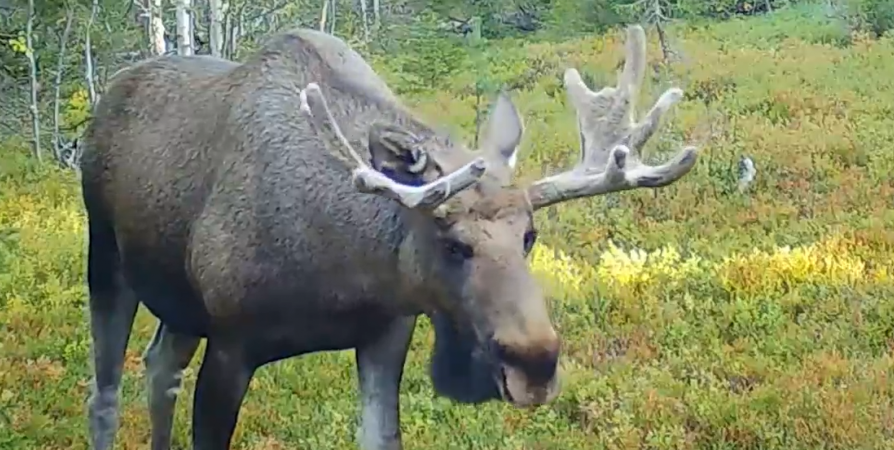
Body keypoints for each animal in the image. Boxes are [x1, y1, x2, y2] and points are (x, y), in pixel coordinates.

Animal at [79, 24, 700, 450]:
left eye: (529, 236)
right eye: (454, 244)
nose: (536, 363)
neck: (340, 272)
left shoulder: (385, 333)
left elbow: (382, 436)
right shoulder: (231, 343)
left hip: (179, 303)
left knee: (159, 367)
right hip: (107, 258)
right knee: (105, 394)